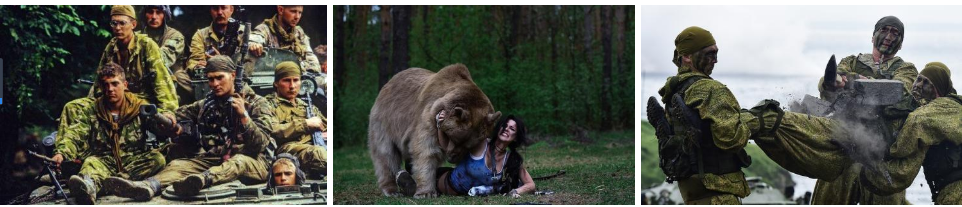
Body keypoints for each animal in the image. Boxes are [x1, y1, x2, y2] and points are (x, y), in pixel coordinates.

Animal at [368, 64, 502, 198]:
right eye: (455, 138)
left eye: (469, 146)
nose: (453, 157)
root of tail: (389, 83)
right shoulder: (428, 117)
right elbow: (426, 151)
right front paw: (426, 193)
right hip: (385, 121)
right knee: (386, 154)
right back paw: (392, 190)